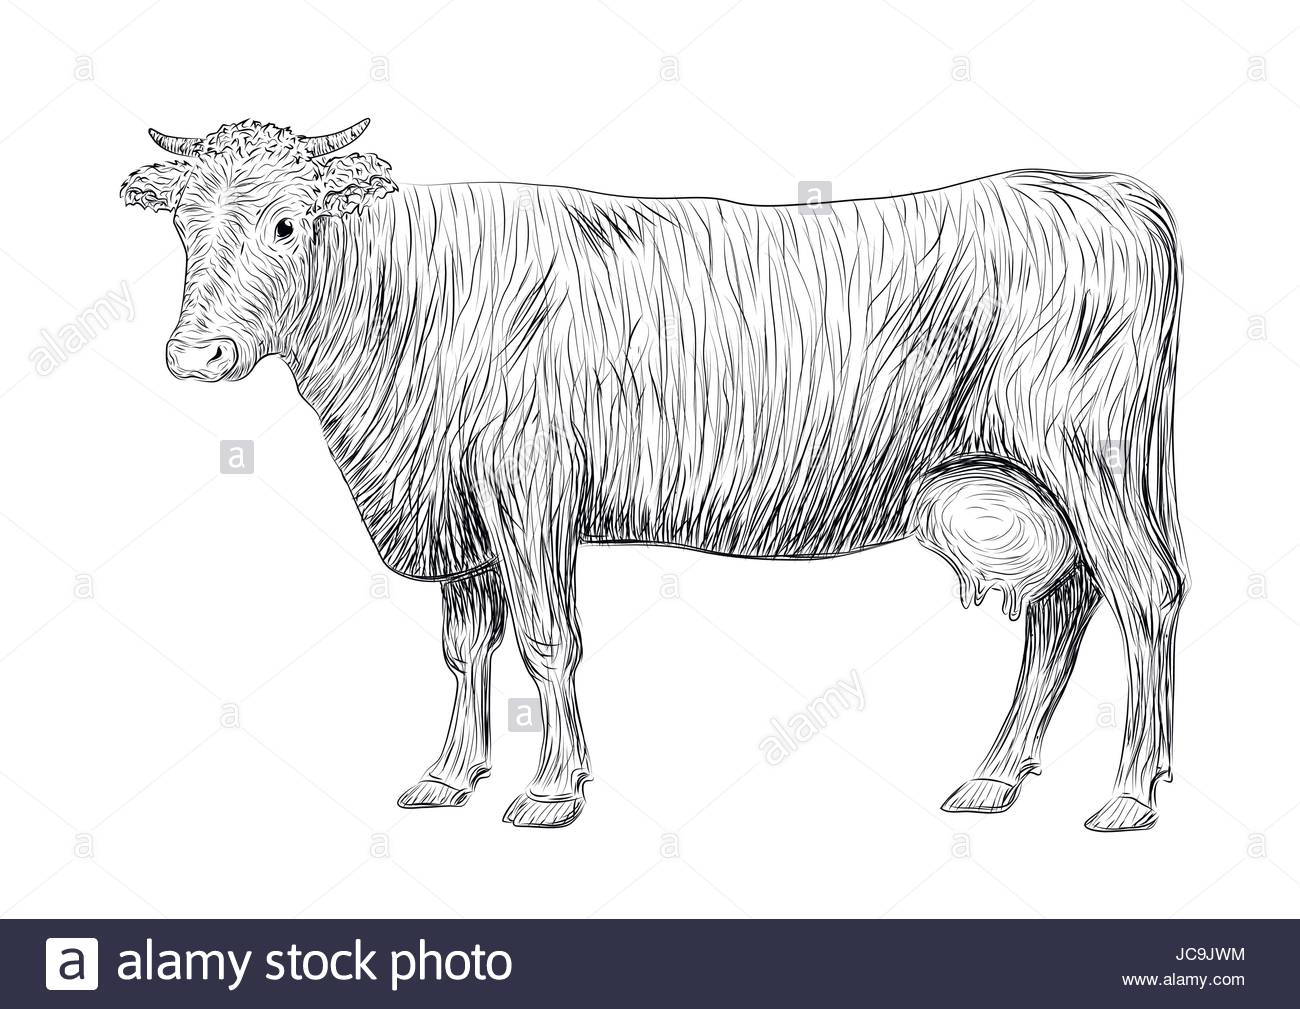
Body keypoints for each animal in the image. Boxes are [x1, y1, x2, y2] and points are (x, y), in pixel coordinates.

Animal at [122, 118, 1187, 831]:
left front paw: (552, 790)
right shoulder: (459, 513)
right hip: (1036, 479)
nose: (197, 354)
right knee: (1063, 609)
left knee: (1145, 593)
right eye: (181, 226)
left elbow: (547, 640)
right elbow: (465, 647)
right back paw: (994, 779)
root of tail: (1100, 190)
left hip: (1093, 458)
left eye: (286, 224)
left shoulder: (529, 490)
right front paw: (448, 776)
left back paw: (1131, 793)